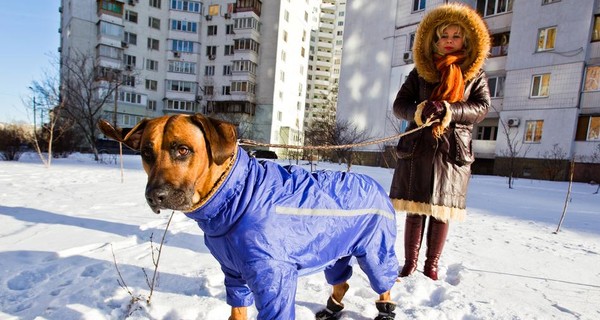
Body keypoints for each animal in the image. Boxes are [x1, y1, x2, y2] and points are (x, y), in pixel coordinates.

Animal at [98, 114, 398, 318]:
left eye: (182, 149)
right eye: (146, 153)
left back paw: (385, 309)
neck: (237, 194)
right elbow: (238, 305)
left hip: (374, 248)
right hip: (331, 248)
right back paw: (332, 307)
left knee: (382, 278)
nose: (154, 196)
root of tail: (374, 183)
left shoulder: (273, 276)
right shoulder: (233, 272)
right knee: (341, 279)